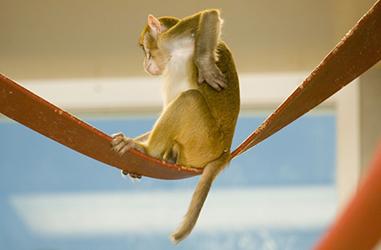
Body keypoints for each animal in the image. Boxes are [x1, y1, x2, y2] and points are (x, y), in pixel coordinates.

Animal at [111, 9, 239, 244]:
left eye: (144, 47)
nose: (145, 63)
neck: (171, 56)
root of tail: (224, 152)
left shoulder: (171, 39)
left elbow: (208, 15)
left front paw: (205, 64)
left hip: (203, 142)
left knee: (190, 99)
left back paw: (147, 151)